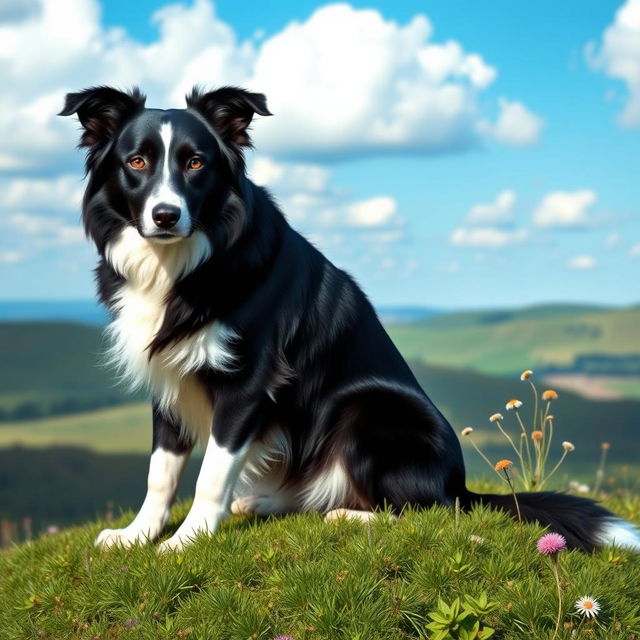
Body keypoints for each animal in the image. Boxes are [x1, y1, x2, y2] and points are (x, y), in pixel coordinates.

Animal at [57, 87, 636, 552]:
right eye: (136, 162)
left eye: (196, 163)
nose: (165, 215)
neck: (182, 263)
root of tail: (458, 484)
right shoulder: (170, 376)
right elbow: (161, 471)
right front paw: (136, 535)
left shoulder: (248, 383)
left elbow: (212, 474)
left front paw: (185, 542)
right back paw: (264, 503)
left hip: (368, 409)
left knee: (422, 511)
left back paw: (345, 514)